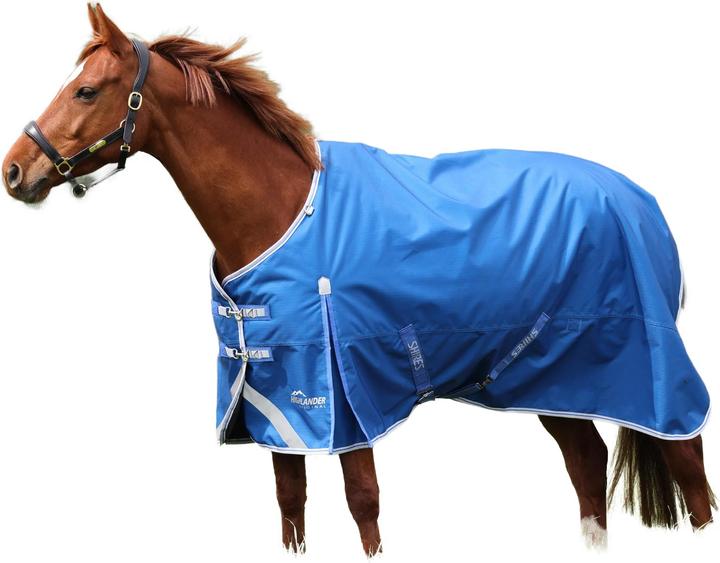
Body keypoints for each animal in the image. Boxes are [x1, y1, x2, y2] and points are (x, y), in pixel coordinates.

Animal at [2, 4, 715, 556]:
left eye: (86, 91)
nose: (15, 170)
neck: (281, 208)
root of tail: (643, 201)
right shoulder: (276, 397)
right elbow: (291, 500)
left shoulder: (347, 395)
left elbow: (363, 502)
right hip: (550, 375)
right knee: (586, 465)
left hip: (642, 369)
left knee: (689, 466)